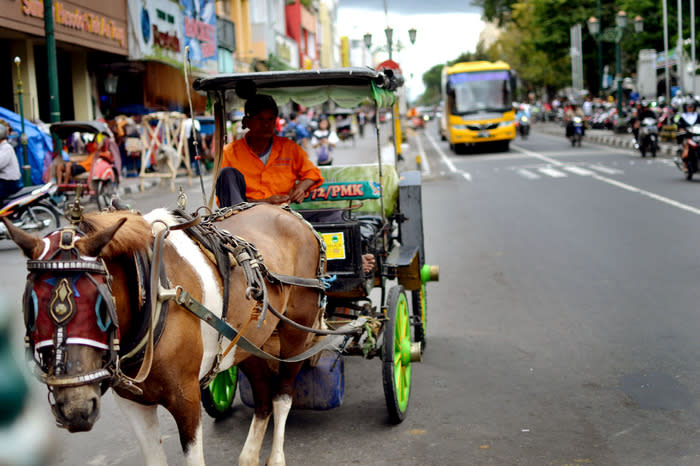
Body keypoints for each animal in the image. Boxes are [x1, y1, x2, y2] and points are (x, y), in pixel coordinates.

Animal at [4, 205, 326, 466]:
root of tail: (287, 212)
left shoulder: (187, 399)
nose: (75, 407)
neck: (151, 293)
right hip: (246, 343)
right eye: (31, 306)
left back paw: (276, 457)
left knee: (282, 395)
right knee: (262, 395)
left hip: (295, 333)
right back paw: (248, 457)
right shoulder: (132, 402)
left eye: (101, 306)